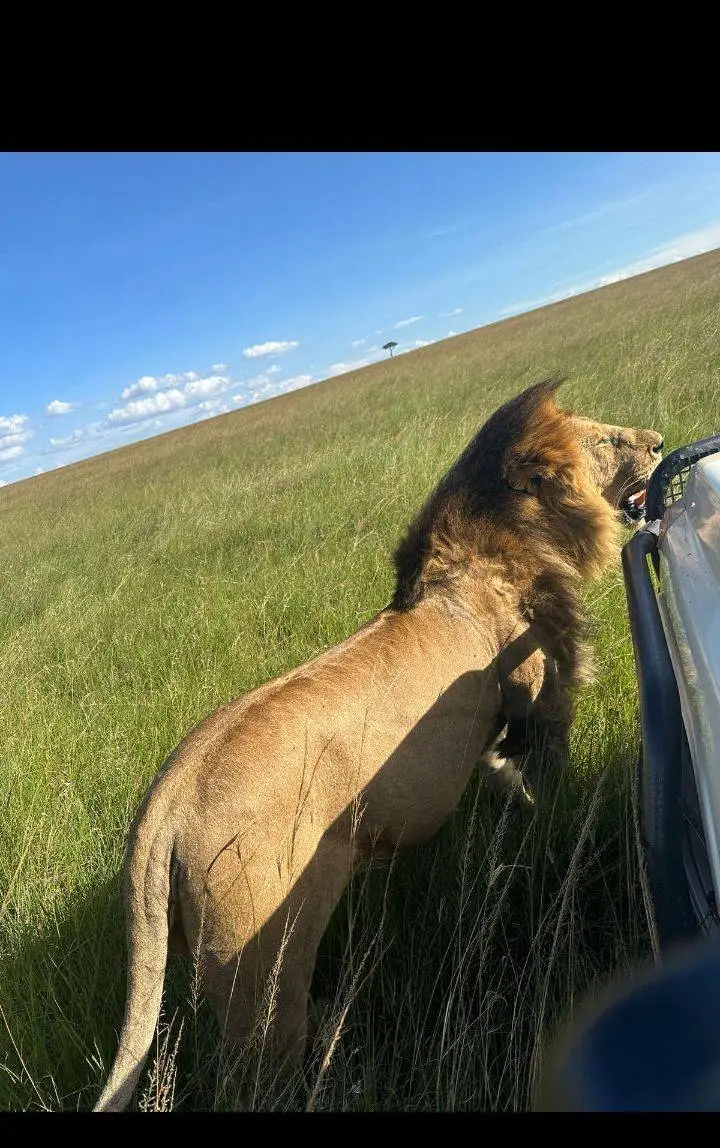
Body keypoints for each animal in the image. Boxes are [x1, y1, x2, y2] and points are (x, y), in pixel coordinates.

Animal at [93, 378, 662, 1111]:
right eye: (605, 441)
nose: (657, 442)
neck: (506, 544)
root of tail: (162, 811)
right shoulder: (543, 705)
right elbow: (552, 784)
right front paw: (556, 826)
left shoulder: (494, 735)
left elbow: (504, 780)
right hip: (260, 975)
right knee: (259, 1075)